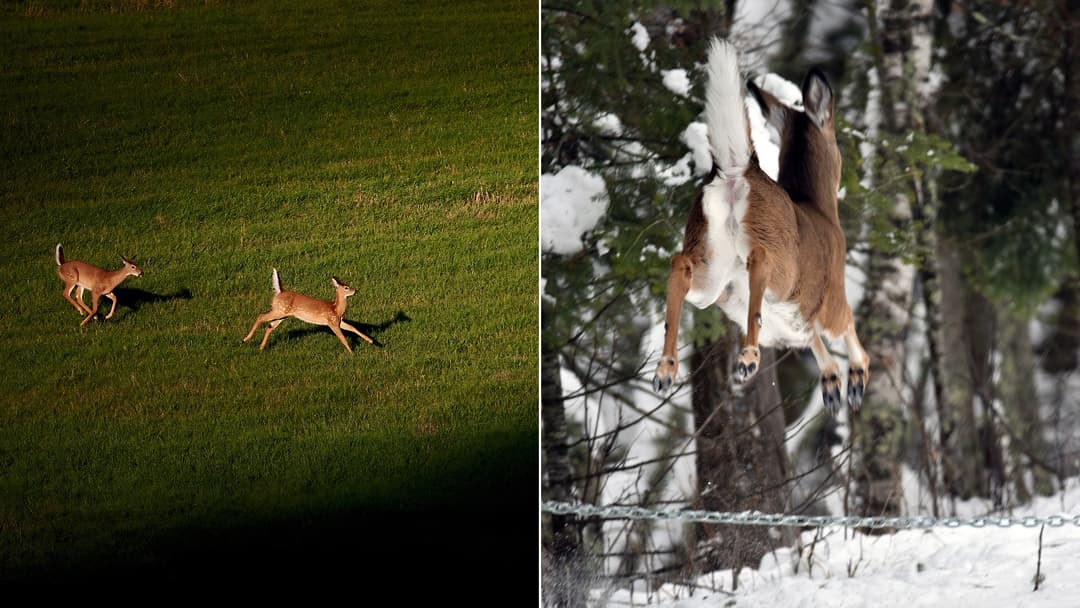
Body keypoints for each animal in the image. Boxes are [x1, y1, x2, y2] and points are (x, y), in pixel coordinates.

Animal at [243, 268, 374, 353]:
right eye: (346, 287)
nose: (355, 290)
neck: (336, 309)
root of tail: (280, 291)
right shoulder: (331, 322)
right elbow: (343, 338)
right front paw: (352, 353)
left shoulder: (338, 321)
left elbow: (353, 328)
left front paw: (371, 341)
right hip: (279, 310)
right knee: (260, 316)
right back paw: (246, 339)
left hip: (282, 314)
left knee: (269, 326)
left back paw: (261, 347)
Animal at [650, 38, 870, 415]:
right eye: (837, 141)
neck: (822, 210)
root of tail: (740, 170)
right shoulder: (832, 301)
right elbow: (849, 330)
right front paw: (855, 379)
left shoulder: (797, 323)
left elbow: (810, 338)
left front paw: (832, 384)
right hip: (780, 268)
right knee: (760, 261)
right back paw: (747, 357)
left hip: (710, 272)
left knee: (680, 264)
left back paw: (666, 368)